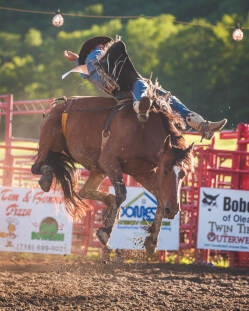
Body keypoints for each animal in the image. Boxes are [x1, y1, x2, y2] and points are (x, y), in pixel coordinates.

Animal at [31, 97, 194, 256]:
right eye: (165, 171)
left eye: (183, 174)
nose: (173, 210)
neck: (142, 133)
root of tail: (59, 105)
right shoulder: (109, 161)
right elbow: (122, 194)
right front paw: (105, 233)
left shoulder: (141, 172)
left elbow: (160, 197)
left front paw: (152, 241)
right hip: (48, 141)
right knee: (36, 167)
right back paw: (46, 178)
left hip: (98, 170)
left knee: (85, 191)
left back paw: (110, 204)